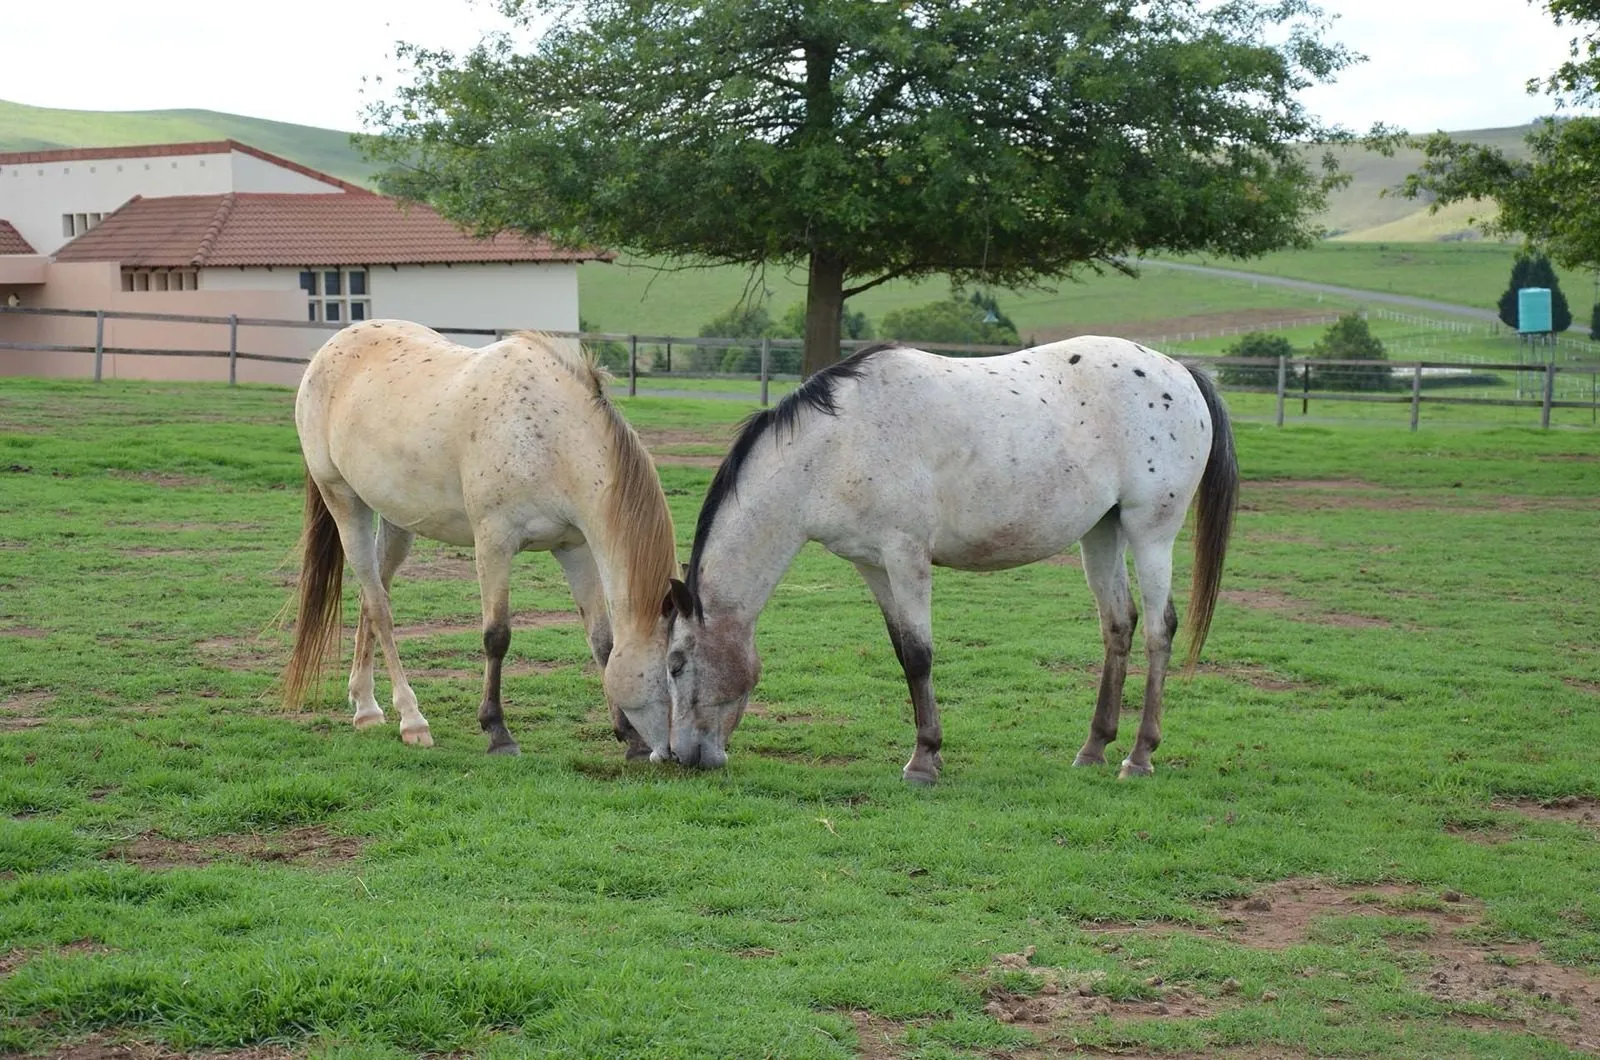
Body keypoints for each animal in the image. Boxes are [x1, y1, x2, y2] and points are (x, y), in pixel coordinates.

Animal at [282, 320, 679, 760]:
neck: (547, 437)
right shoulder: (494, 544)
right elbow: (497, 636)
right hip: (345, 503)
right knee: (380, 609)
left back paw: (366, 707)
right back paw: (411, 720)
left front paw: (630, 738)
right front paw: (497, 731)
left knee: (371, 599)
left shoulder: (574, 549)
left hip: (396, 522)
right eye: (675, 668)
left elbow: (603, 642)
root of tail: (329, 350)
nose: (679, 752)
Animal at [661, 336, 1237, 782]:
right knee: (1118, 624)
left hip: (1150, 531)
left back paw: (1139, 756)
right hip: (1101, 532)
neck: (838, 444)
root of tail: (1180, 371)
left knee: (1159, 630)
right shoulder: (873, 564)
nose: (682, 756)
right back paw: (1094, 748)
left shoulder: (906, 555)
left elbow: (920, 654)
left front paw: (923, 762)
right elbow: (902, 651)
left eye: (676, 663)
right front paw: (928, 752)